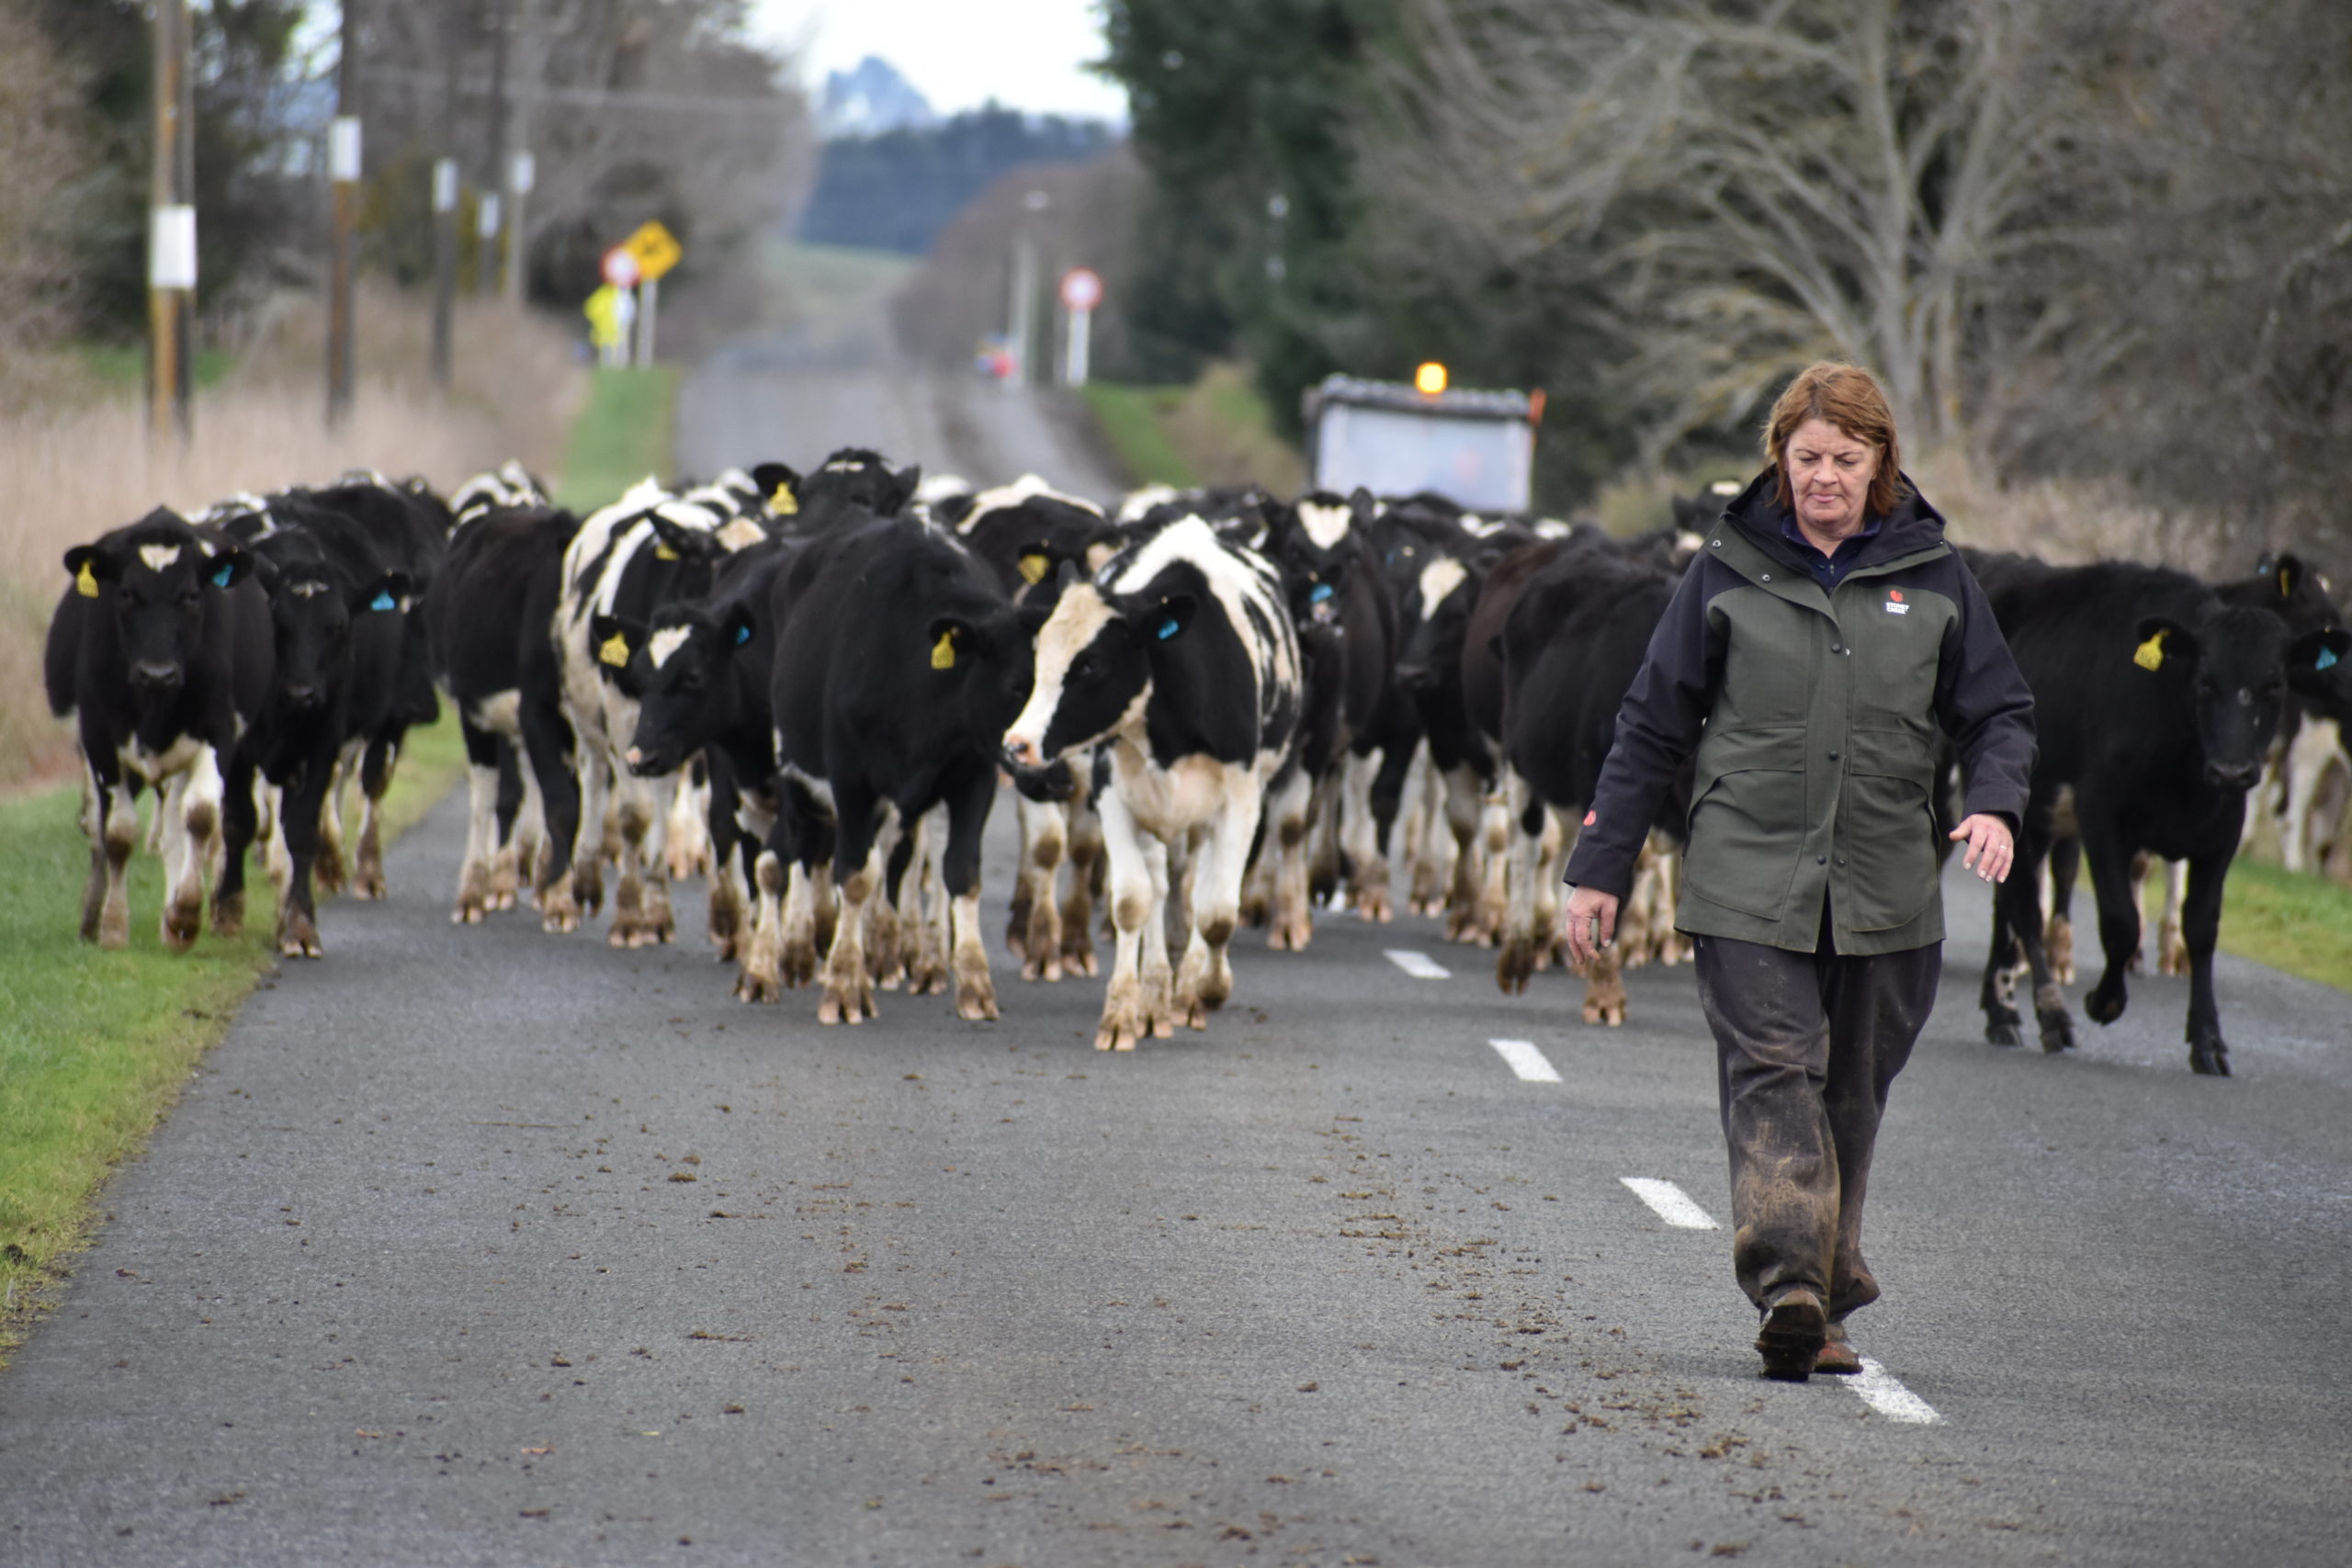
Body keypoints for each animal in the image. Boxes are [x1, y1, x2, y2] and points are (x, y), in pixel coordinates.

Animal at [47, 514, 269, 949]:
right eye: (127, 594)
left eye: (192, 596)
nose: (158, 673)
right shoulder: (100, 740)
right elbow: (117, 834)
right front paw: (113, 926)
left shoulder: (218, 736)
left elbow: (199, 819)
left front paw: (183, 916)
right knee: (97, 831)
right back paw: (91, 916)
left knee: (175, 833)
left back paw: (171, 919)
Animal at [1006, 517, 1317, 1053]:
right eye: (1040, 652)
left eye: (1091, 664)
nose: (1018, 744)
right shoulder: (1114, 797)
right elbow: (1133, 901)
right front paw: (1123, 1013)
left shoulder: (1241, 801)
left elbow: (1216, 911)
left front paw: (1205, 991)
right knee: (1159, 883)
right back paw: (1155, 996)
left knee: (1192, 885)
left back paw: (1182, 984)